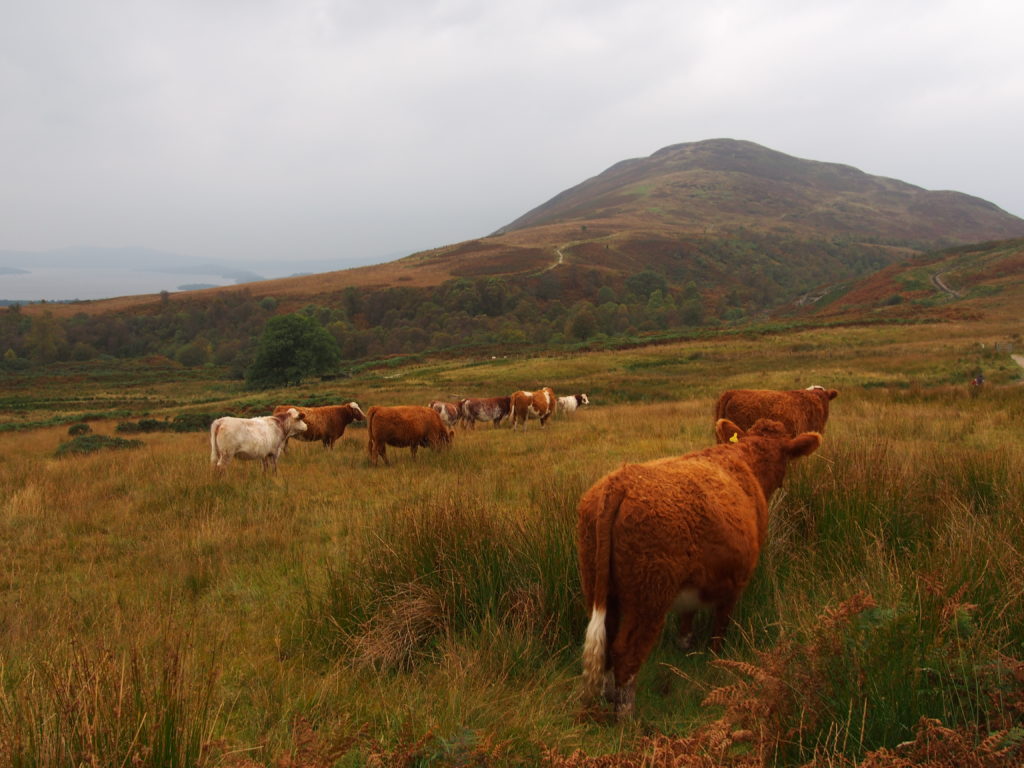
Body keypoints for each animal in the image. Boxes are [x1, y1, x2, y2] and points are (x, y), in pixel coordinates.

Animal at [581, 417, 819, 720]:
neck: (747, 464)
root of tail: (620, 481)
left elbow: (688, 614)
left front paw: (685, 644)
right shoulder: (736, 581)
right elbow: (721, 624)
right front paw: (716, 656)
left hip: (598, 587)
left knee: (607, 641)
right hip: (650, 596)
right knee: (625, 652)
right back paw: (625, 714)